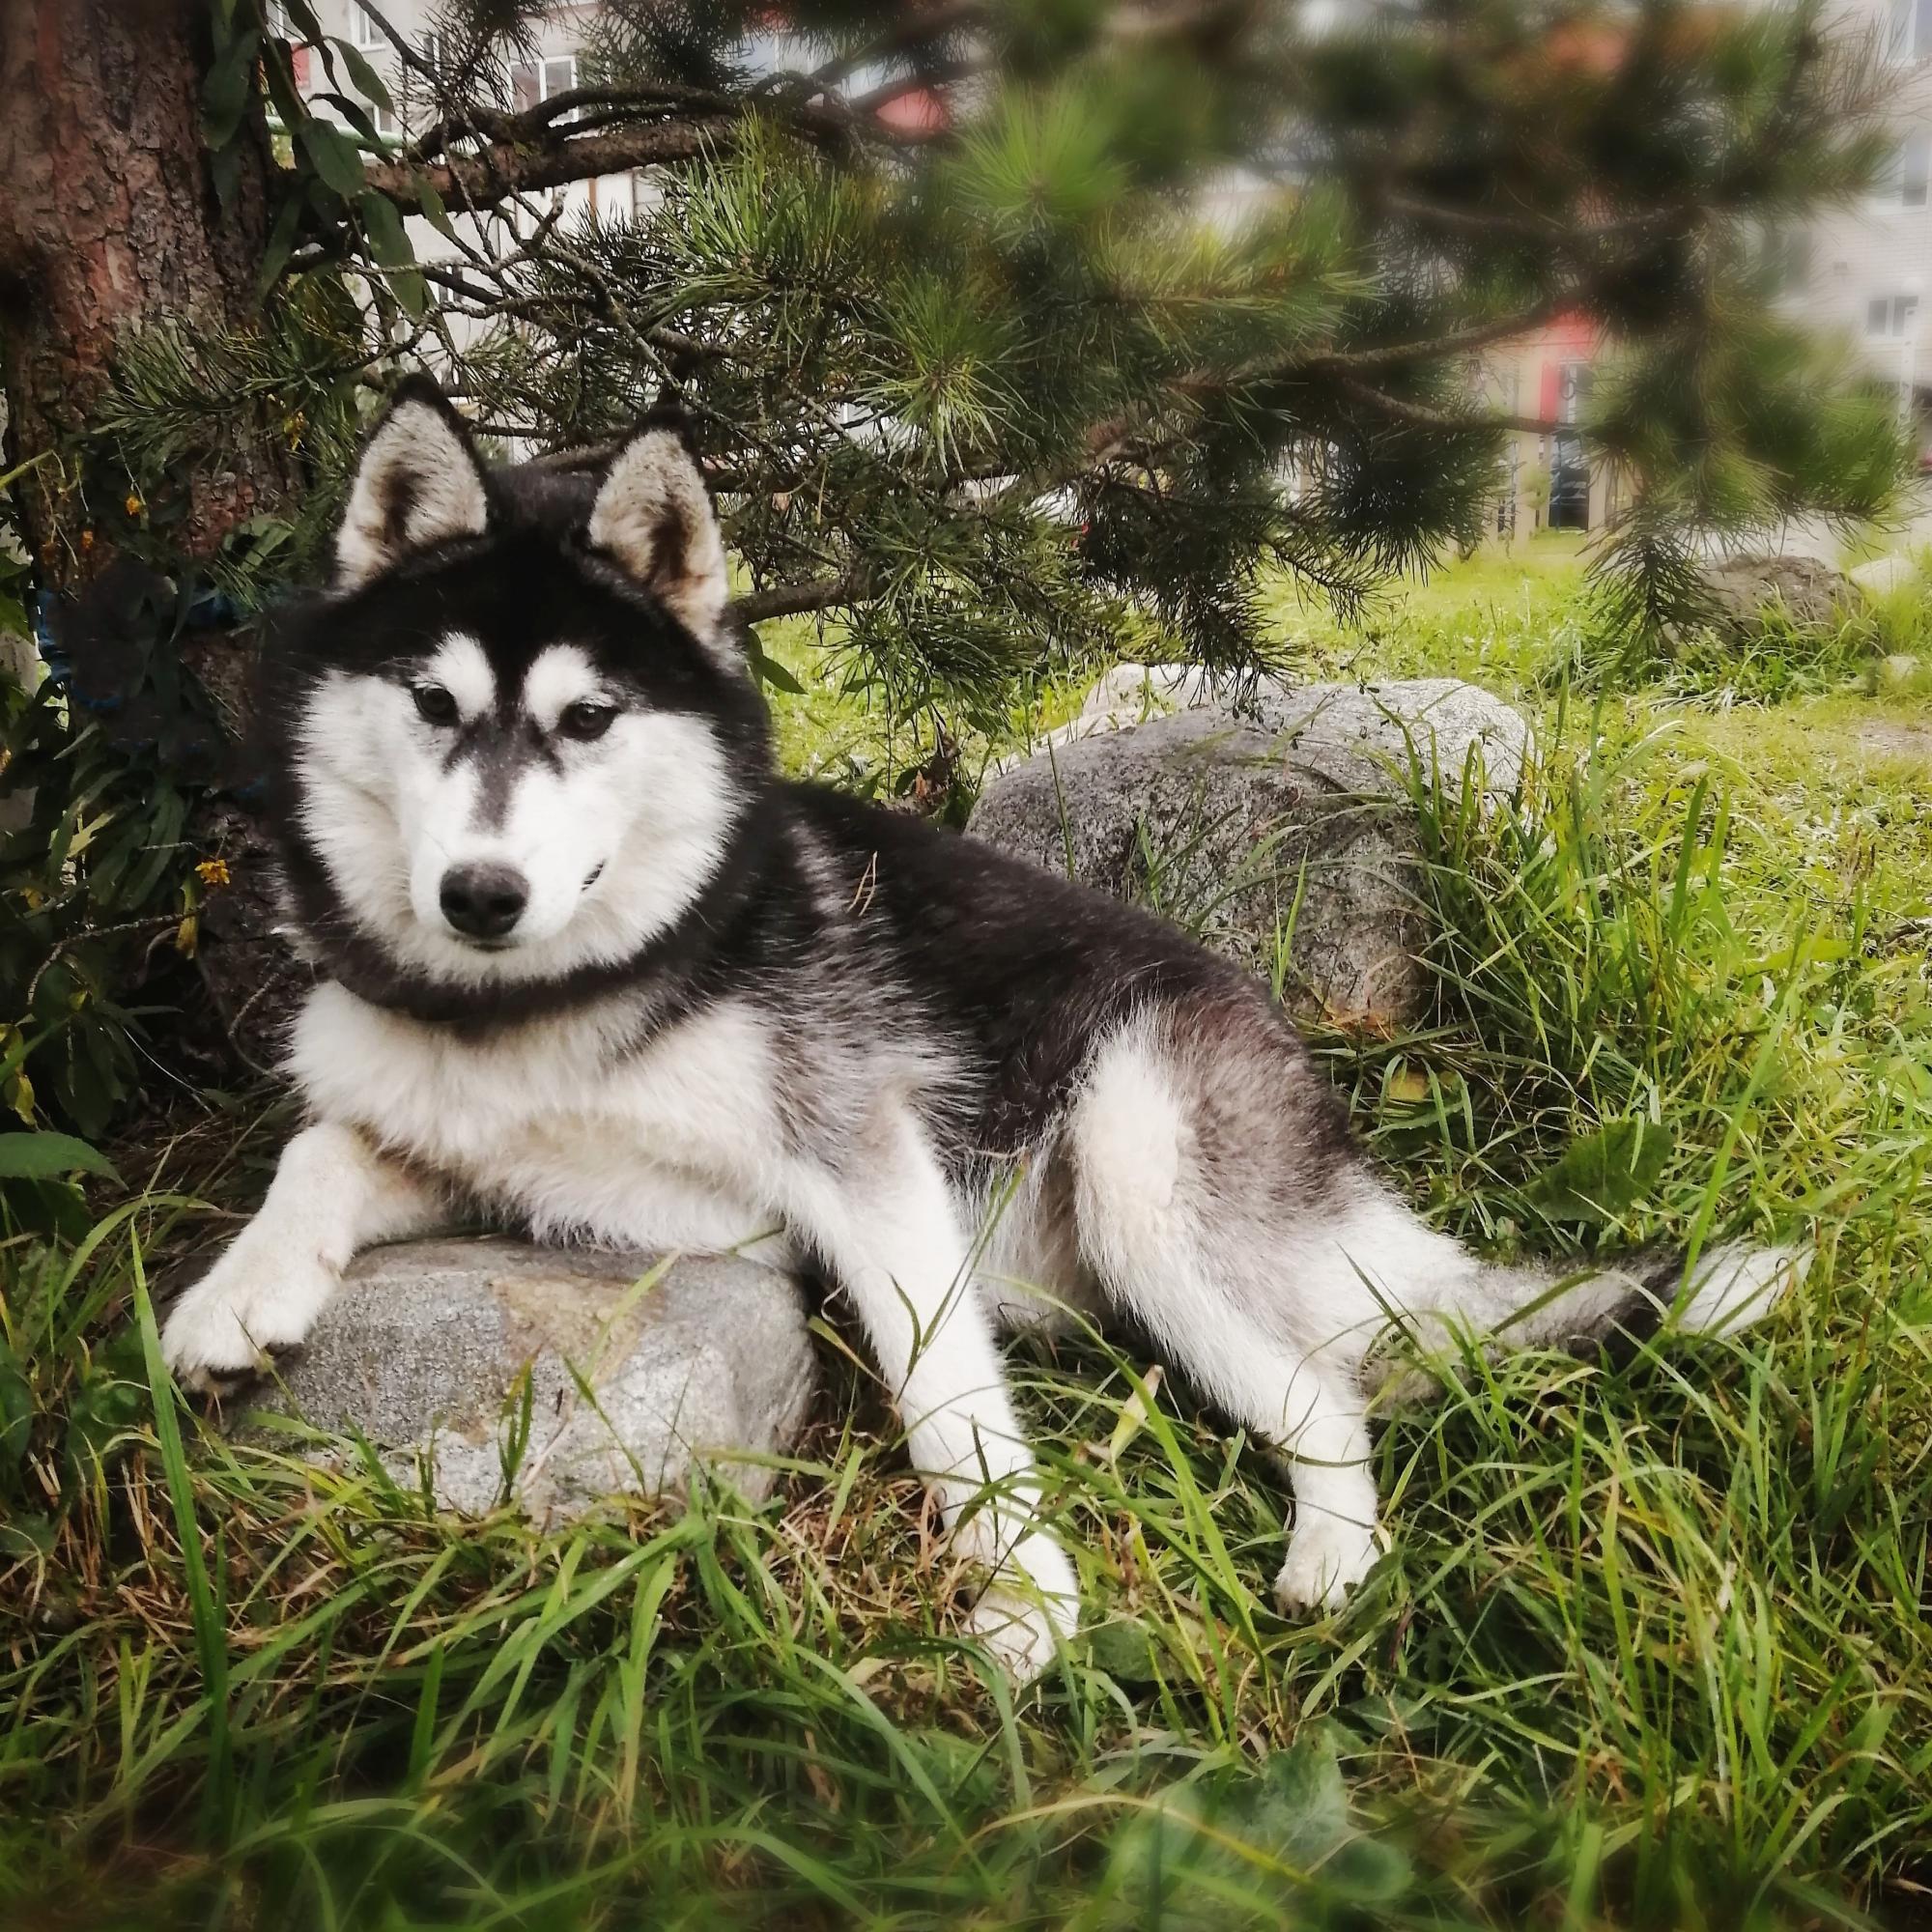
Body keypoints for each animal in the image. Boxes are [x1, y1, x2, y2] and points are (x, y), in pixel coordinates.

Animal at [158, 377, 1801, 1677]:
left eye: (588, 719)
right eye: (433, 702)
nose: (481, 896)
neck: (555, 999)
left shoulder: (861, 1172)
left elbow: (947, 1403)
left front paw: (1026, 1607)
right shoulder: (592, 1179)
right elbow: (326, 1148)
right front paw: (237, 1295)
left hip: (1145, 1179)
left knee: (1329, 1400)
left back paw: (1329, 1561)